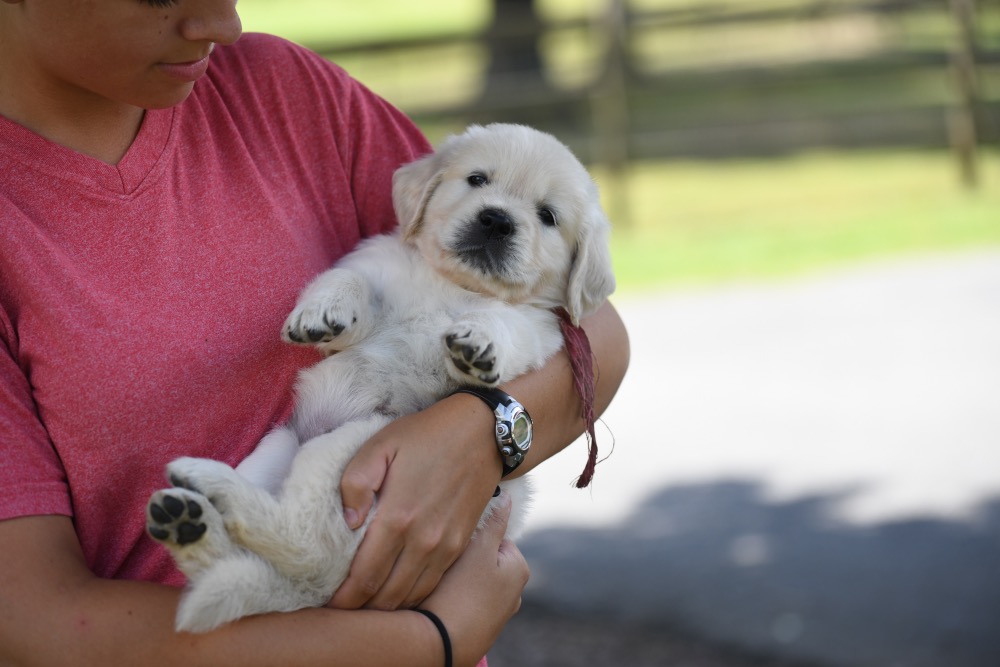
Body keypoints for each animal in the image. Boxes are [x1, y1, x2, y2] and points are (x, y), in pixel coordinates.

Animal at [145, 124, 612, 632]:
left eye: (547, 216)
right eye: (476, 179)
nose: (496, 220)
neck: (454, 283)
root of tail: (316, 592)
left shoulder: (539, 331)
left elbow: (503, 323)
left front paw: (479, 343)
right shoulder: (373, 267)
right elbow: (350, 281)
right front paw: (322, 313)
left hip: (350, 447)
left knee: (303, 542)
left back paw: (200, 498)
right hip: (278, 446)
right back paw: (189, 520)